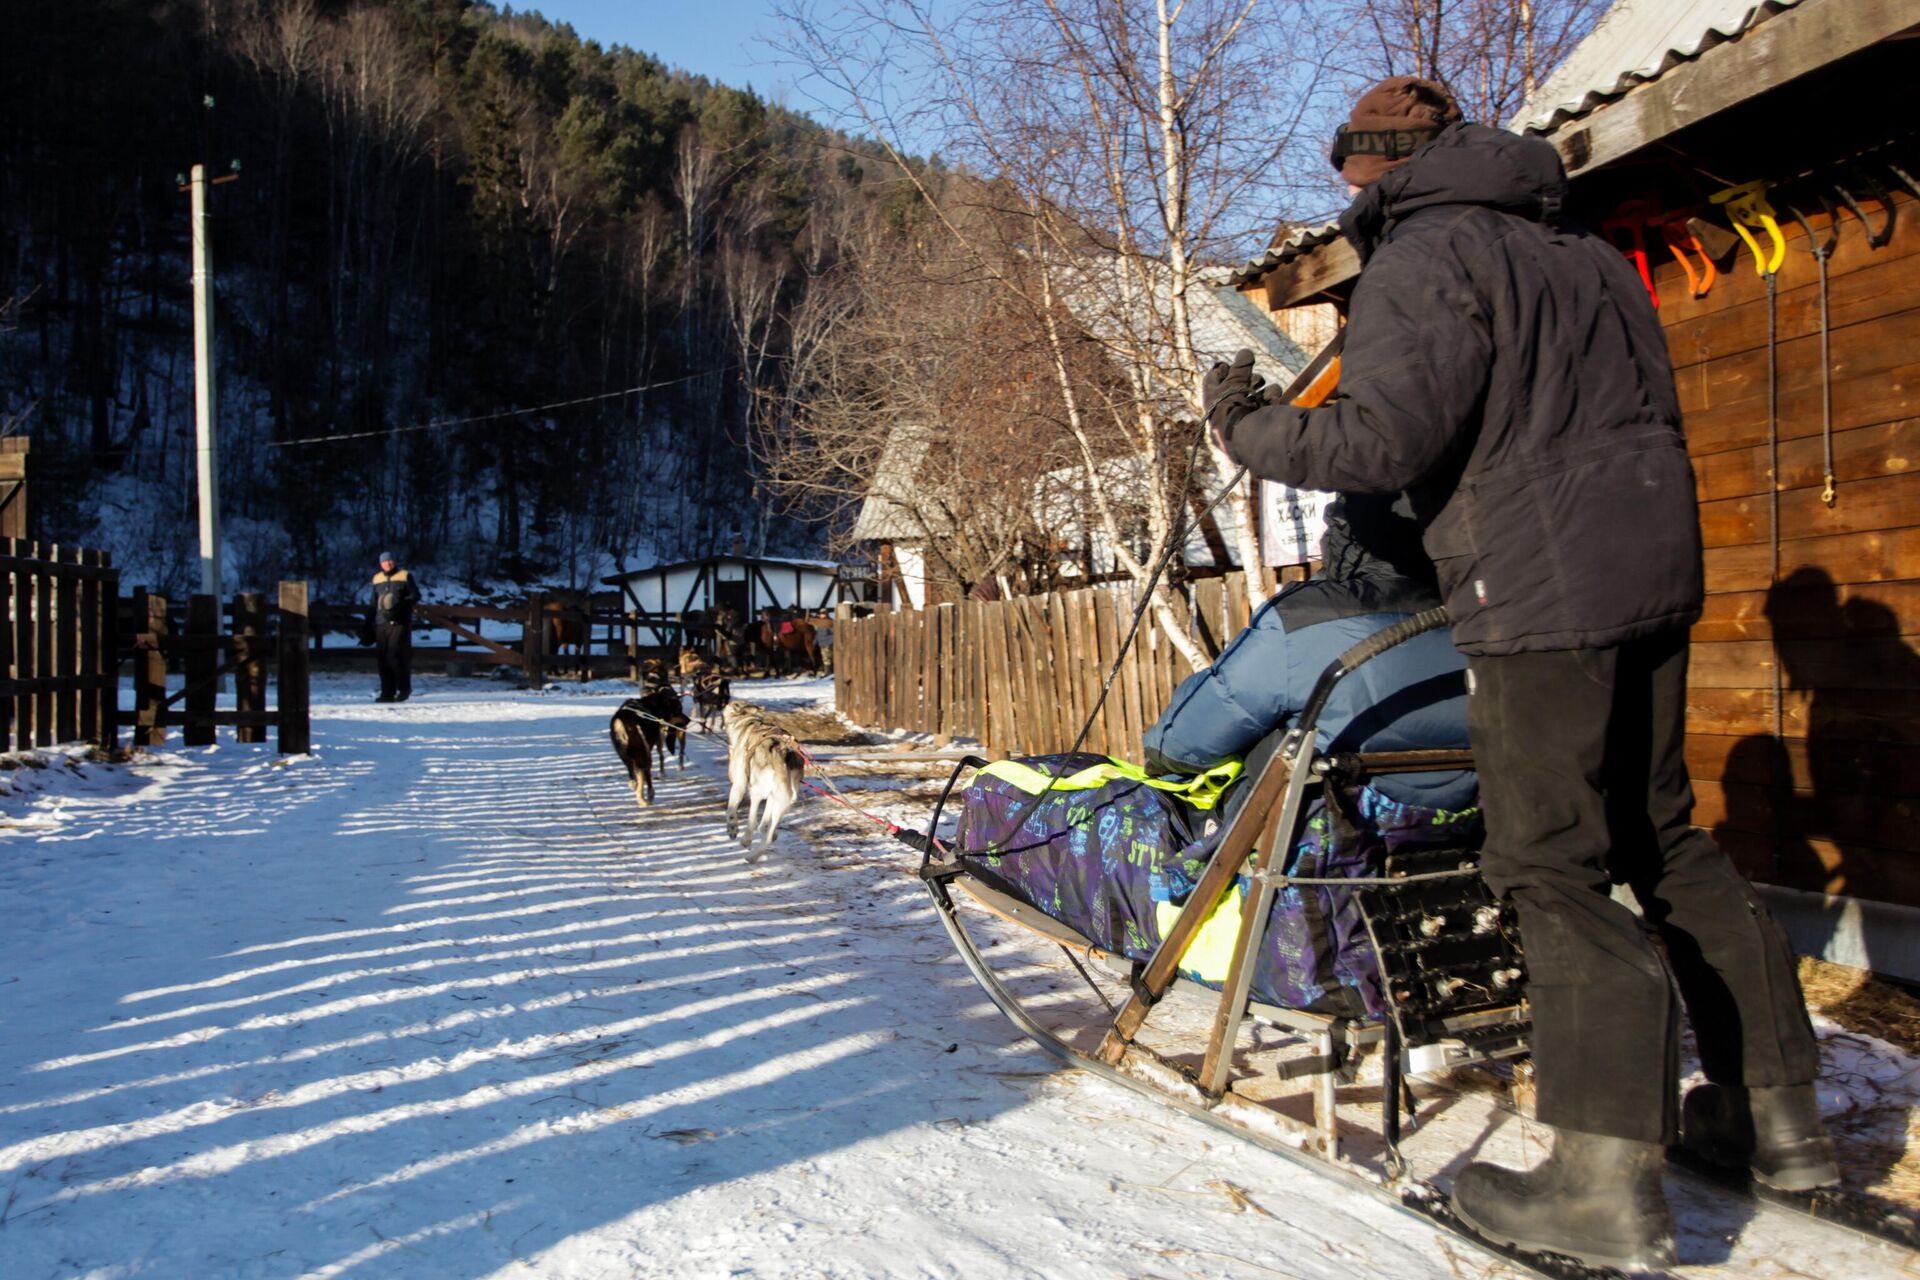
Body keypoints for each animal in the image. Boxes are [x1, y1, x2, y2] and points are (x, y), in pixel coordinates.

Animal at [721, 702, 806, 859]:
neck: (748, 721)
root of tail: (783, 751)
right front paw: (765, 825)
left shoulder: (739, 785)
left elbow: (731, 810)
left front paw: (732, 828)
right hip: (784, 797)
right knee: (769, 836)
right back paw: (753, 855)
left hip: (756, 789)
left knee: (752, 819)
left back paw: (747, 840)